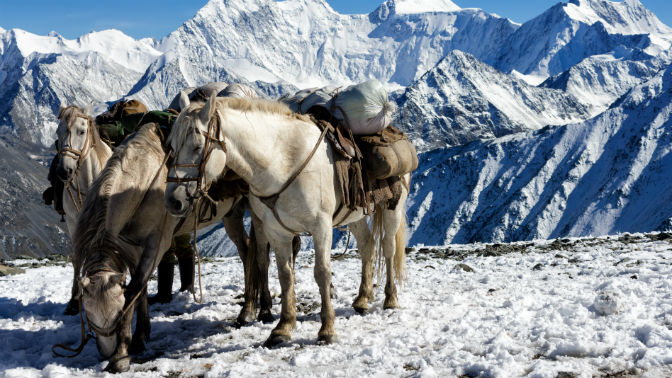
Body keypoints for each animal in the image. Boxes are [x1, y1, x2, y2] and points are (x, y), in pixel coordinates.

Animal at [167, 94, 410, 346]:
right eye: (171, 146)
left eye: (197, 146)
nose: (174, 201)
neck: (282, 162)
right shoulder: (277, 231)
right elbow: (285, 275)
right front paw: (283, 327)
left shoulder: (321, 227)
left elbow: (322, 273)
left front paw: (327, 329)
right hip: (354, 215)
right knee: (367, 245)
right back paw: (362, 298)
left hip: (393, 207)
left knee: (388, 248)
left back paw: (390, 299)